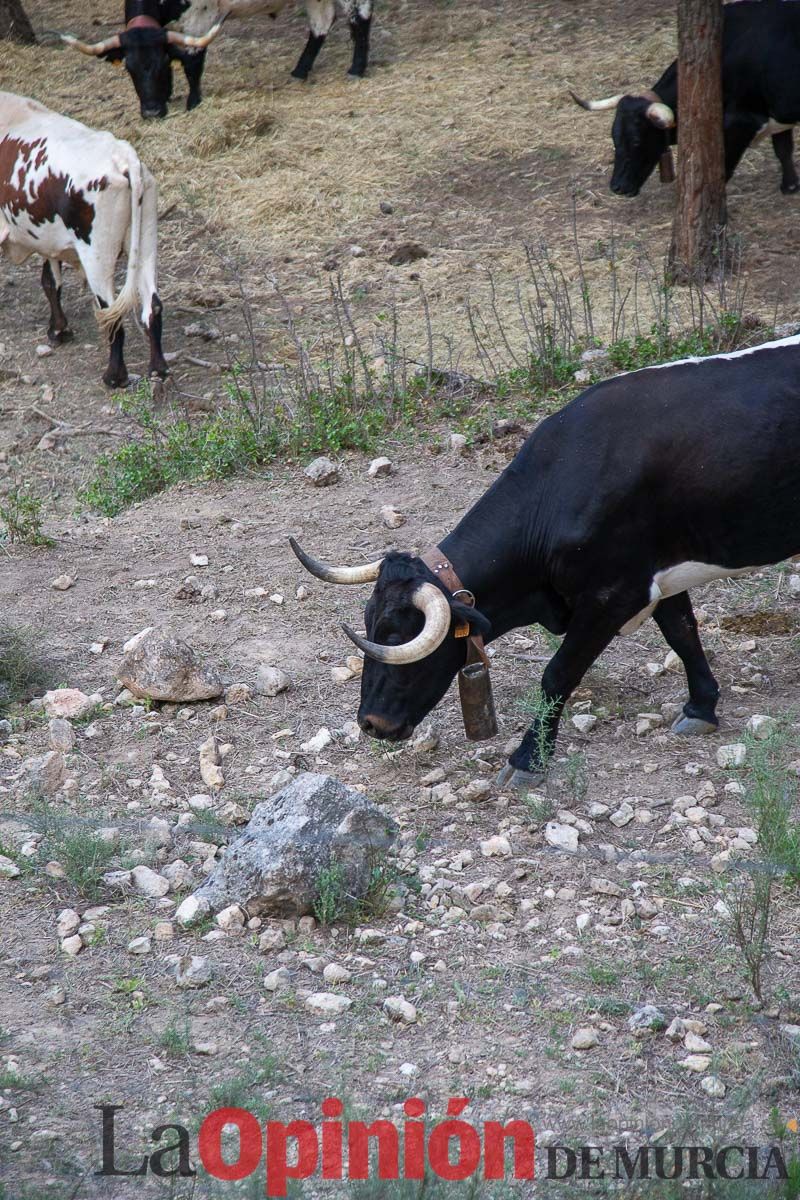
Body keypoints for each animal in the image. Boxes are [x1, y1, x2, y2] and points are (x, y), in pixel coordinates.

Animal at [0, 93, 166, 384]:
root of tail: (124, 156)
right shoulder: (50, 243)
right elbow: (50, 282)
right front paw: (59, 330)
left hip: (97, 254)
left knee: (112, 313)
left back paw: (114, 376)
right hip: (147, 243)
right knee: (152, 306)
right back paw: (158, 369)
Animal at [292, 333, 800, 787]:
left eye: (397, 637)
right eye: (369, 623)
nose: (371, 724)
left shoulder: (612, 595)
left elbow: (557, 674)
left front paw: (527, 759)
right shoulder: (657, 580)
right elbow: (683, 634)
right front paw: (701, 707)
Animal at [575, 0, 800, 199]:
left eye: (637, 140)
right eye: (614, 137)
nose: (617, 187)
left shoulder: (741, 123)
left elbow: (724, 170)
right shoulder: (777, 112)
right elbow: (783, 149)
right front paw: (790, 186)